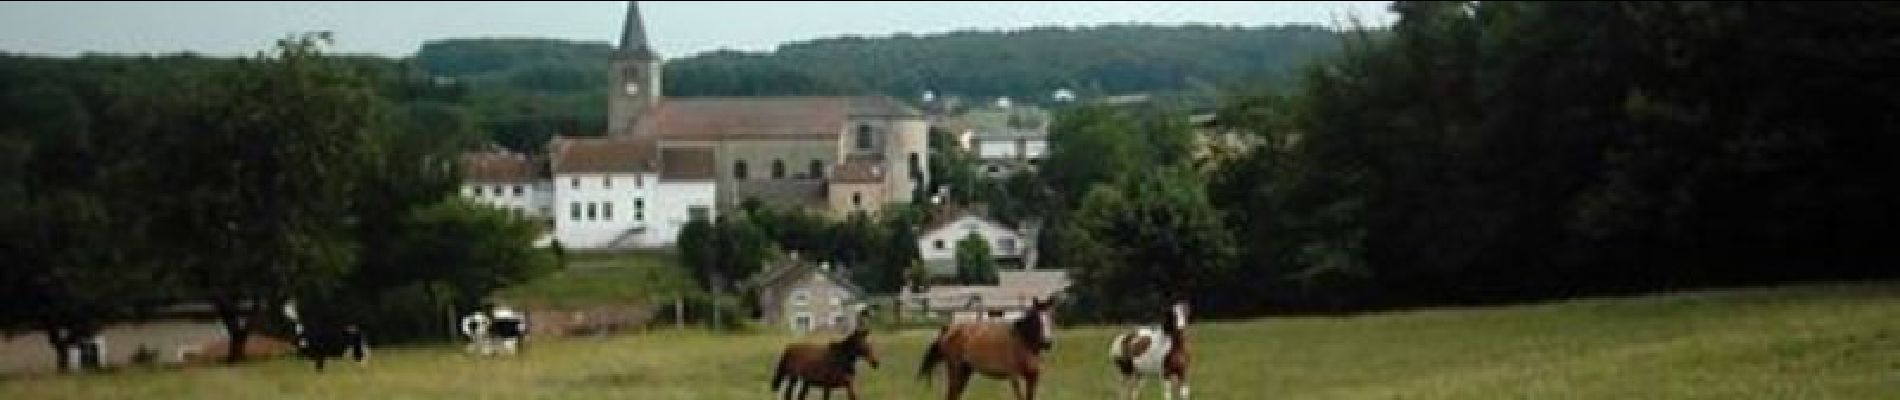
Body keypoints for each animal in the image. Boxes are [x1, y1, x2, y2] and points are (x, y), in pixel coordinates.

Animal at [915, 297, 1056, 400]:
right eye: (1037, 320)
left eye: (1052, 317)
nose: (1047, 343)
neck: (1022, 342)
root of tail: (949, 329)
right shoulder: (1015, 377)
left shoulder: (1033, 377)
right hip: (956, 369)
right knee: (951, 395)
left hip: (966, 371)